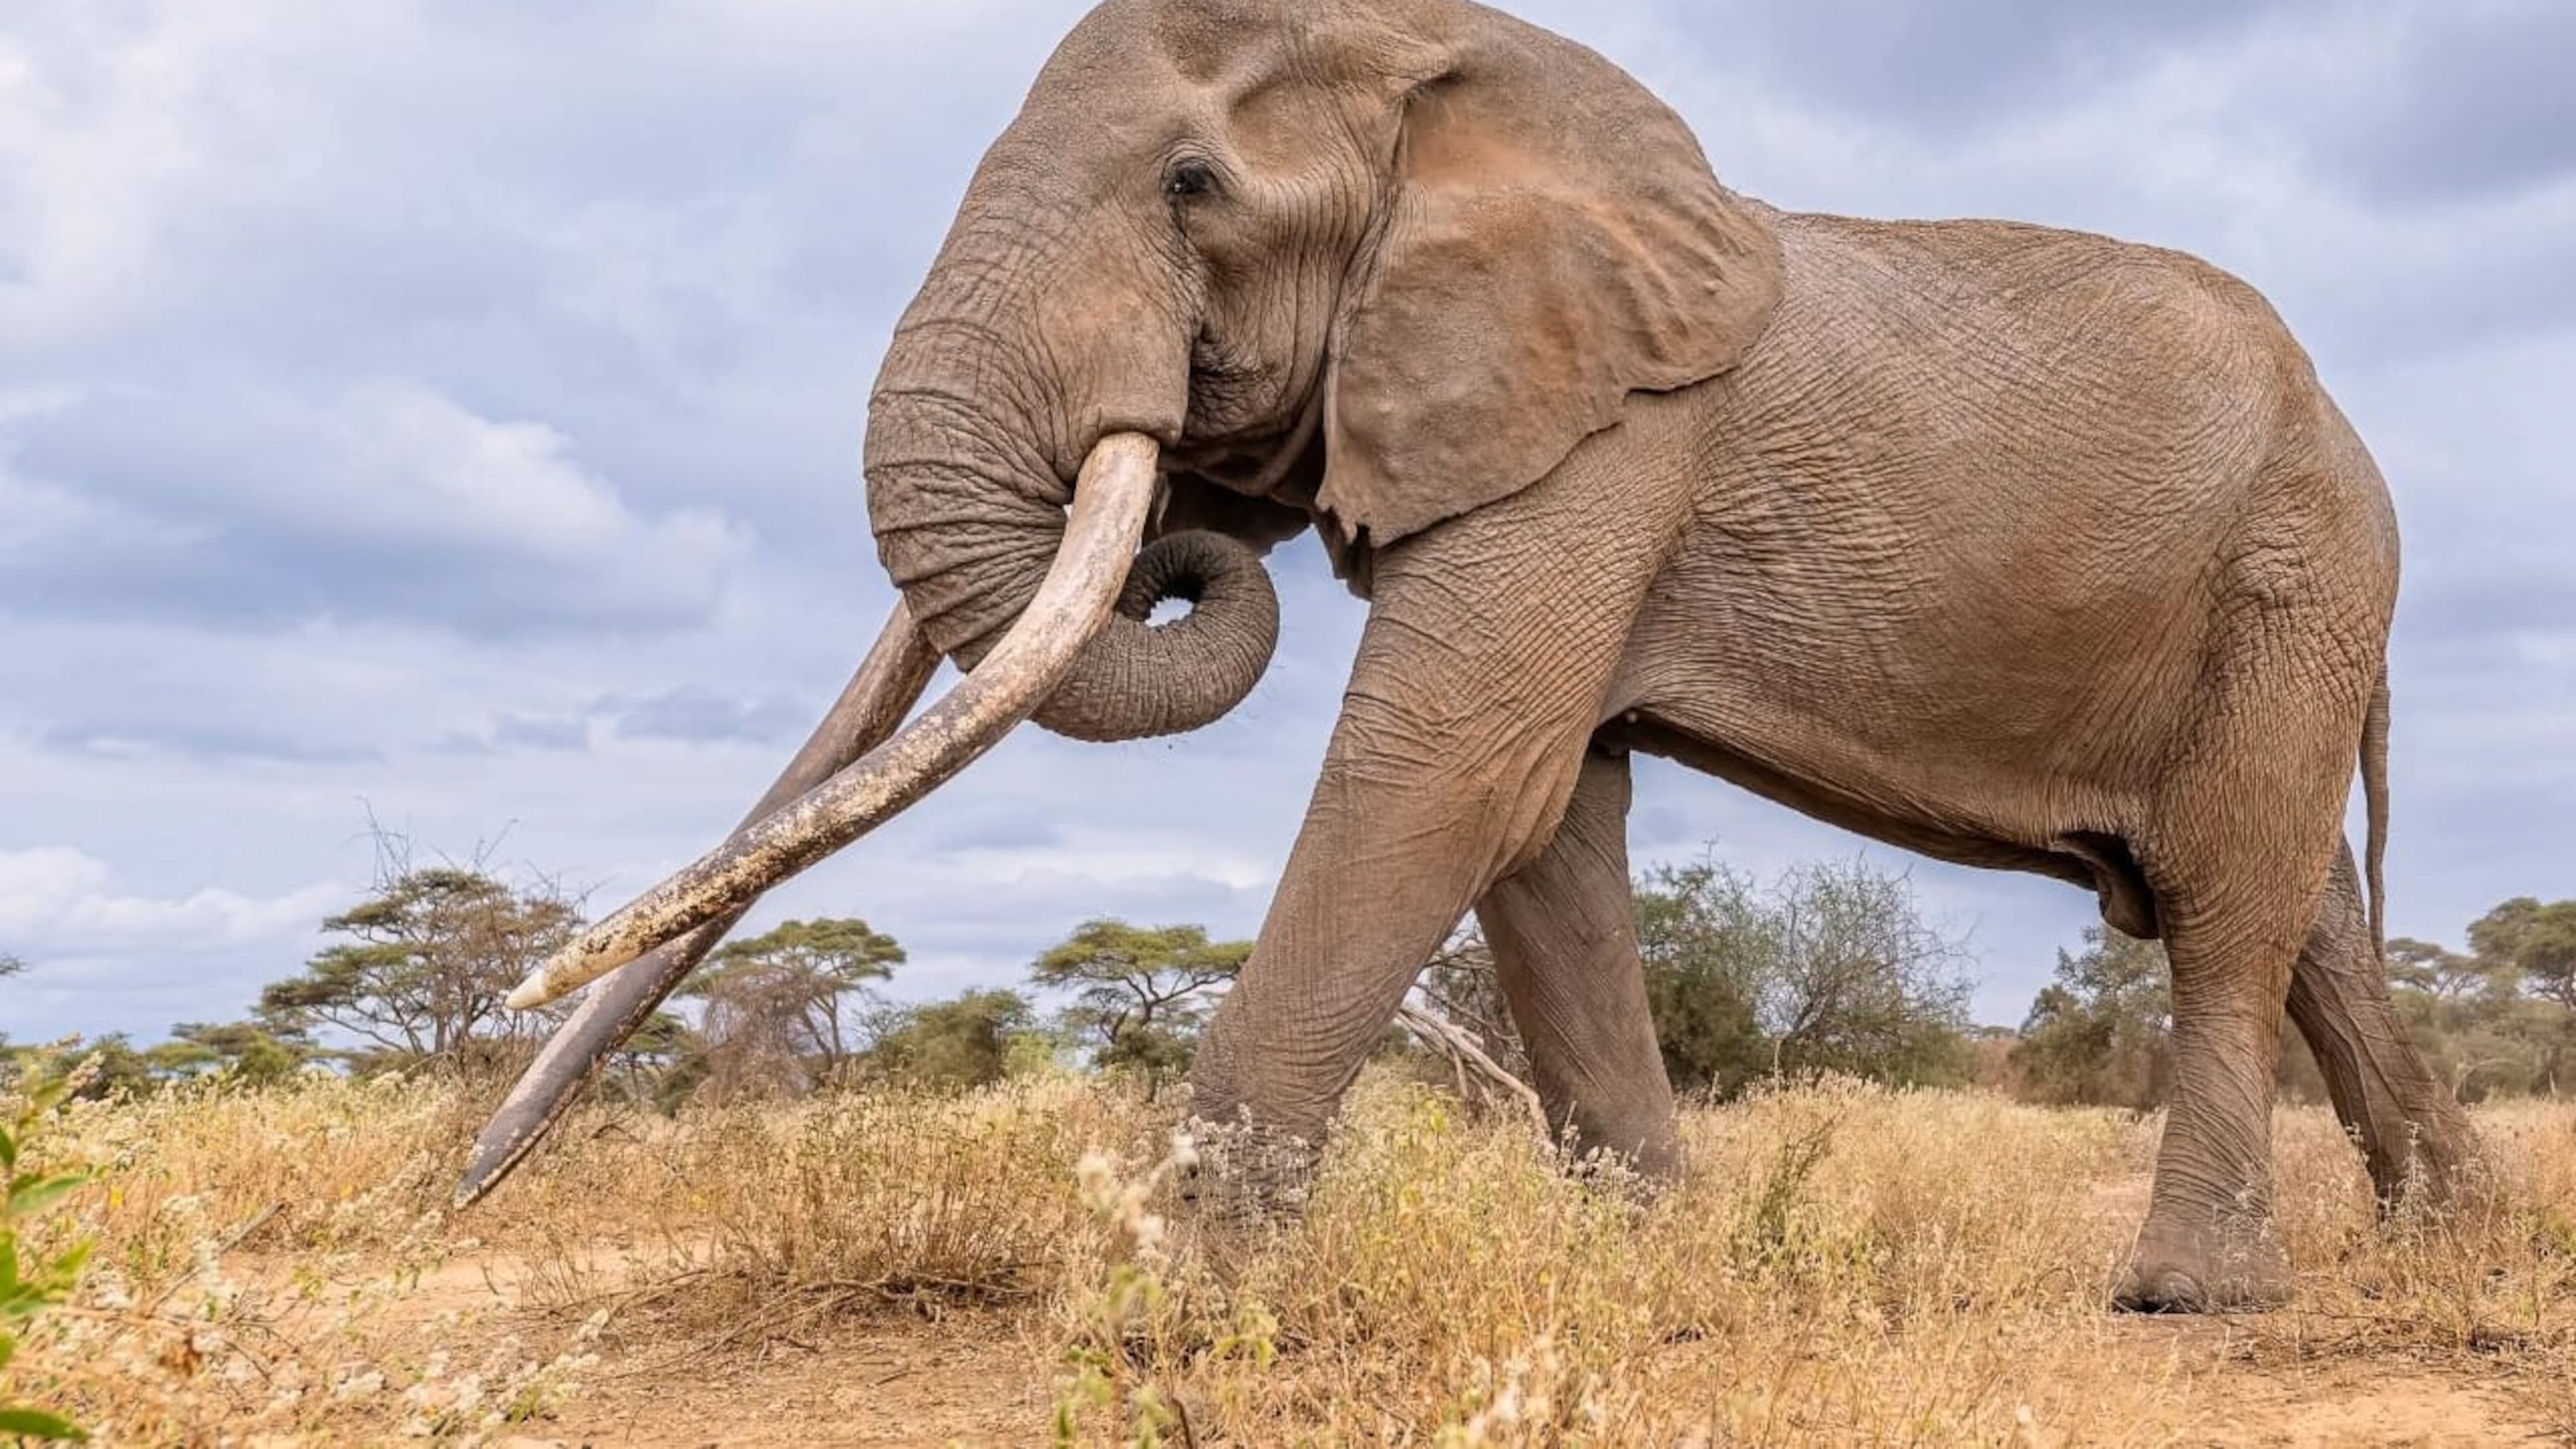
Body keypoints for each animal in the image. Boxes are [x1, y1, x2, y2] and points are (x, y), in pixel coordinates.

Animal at [461, 0, 2484, 1313]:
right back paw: (2454, 1235)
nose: (451, 1190)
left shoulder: (1605, 441)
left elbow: (1446, 772)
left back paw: (2189, 1298)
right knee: (2302, 907)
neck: (1442, 74)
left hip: (2298, 570)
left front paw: (1166, 1312)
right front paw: (1653, 1274)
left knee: (2223, 899)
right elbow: (1543, 827)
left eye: (1189, 184)